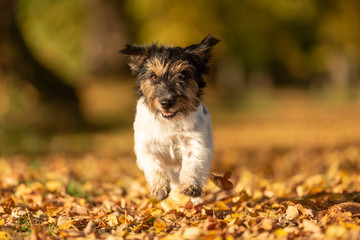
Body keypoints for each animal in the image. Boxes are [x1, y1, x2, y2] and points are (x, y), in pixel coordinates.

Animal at [121, 34, 219, 201]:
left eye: (183, 75)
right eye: (154, 77)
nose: (166, 102)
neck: (169, 122)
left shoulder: (196, 145)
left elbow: (192, 165)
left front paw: (191, 186)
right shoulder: (147, 148)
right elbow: (155, 167)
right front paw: (159, 188)